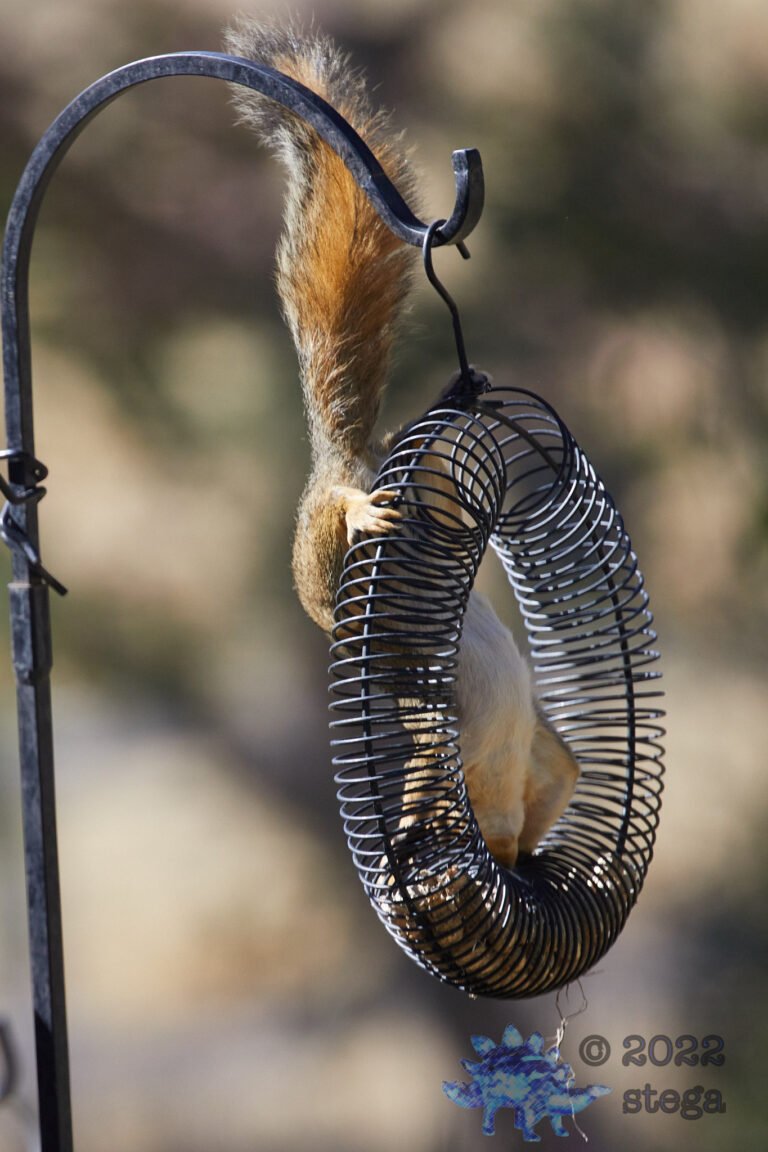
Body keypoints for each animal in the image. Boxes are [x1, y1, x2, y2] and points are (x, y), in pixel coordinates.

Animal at [224, 17, 580, 869]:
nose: (505, 857)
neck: (503, 763)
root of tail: (340, 460)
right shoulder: (444, 729)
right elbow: (427, 776)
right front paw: (407, 845)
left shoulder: (534, 752)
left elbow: (568, 770)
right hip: (329, 534)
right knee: (341, 509)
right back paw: (365, 509)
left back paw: (452, 396)